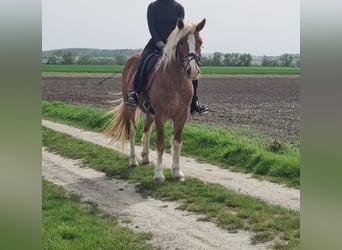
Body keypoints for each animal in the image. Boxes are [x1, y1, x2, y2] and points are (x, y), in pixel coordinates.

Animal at [105, 17, 206, 182]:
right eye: (181, 42)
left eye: (200, 42)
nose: (193, 71)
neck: (175, 80)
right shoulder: (161, 115)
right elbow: (160, 143)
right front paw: (159, 174)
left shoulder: (181, 115)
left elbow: (177, 143)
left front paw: (177, 172)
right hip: (131, 107)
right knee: (133, 130)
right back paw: (133, 160)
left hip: (150, 112)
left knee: (146, 129)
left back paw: (145, 157)